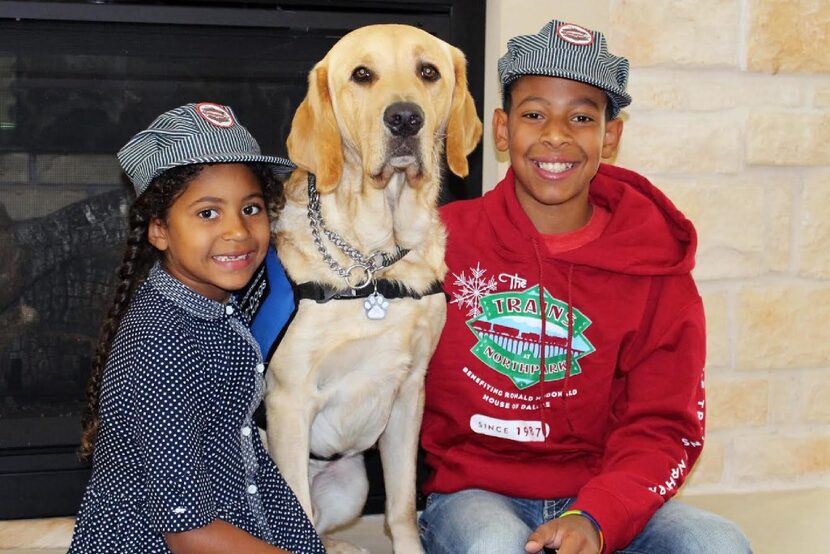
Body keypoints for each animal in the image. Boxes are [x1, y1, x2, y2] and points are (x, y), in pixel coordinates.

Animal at [266, 24, 484, 552]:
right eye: (362, 75)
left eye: (428, 71)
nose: (405, 118)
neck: (375, 262)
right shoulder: (289, 400)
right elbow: (299, 518)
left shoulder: (409, 393)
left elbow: (402, 506)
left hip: (353, 484)